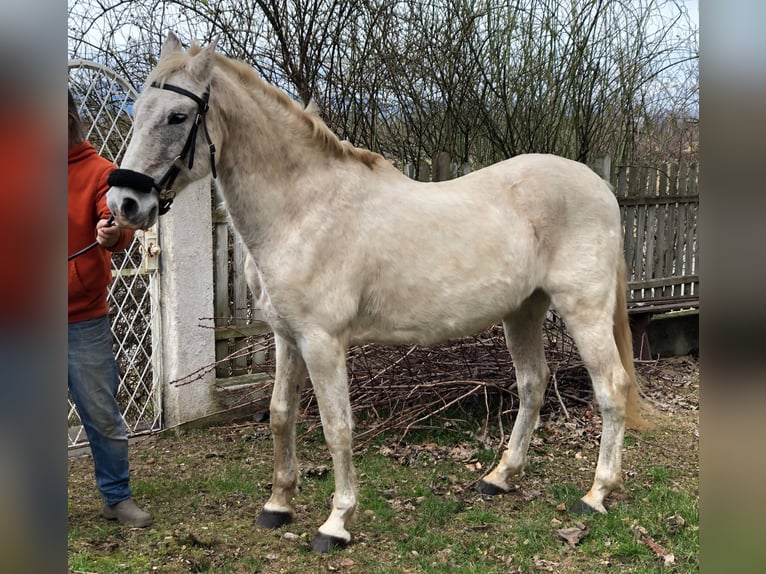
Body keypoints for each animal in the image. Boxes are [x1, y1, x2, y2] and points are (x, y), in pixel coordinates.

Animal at [106, 32, 648, 552]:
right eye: (137, 109)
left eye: (177, 116)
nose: (124, 203)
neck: (303, 211)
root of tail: (600, 188)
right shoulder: (285, 336)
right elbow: (281, 415)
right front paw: (278, 505)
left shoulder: (323, 341)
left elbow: (336, 426)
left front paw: (336, 523)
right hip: (523, 312)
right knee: (533, 383)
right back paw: (500, 477)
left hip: (584, 310)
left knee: (611, 387)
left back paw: (596, 493)